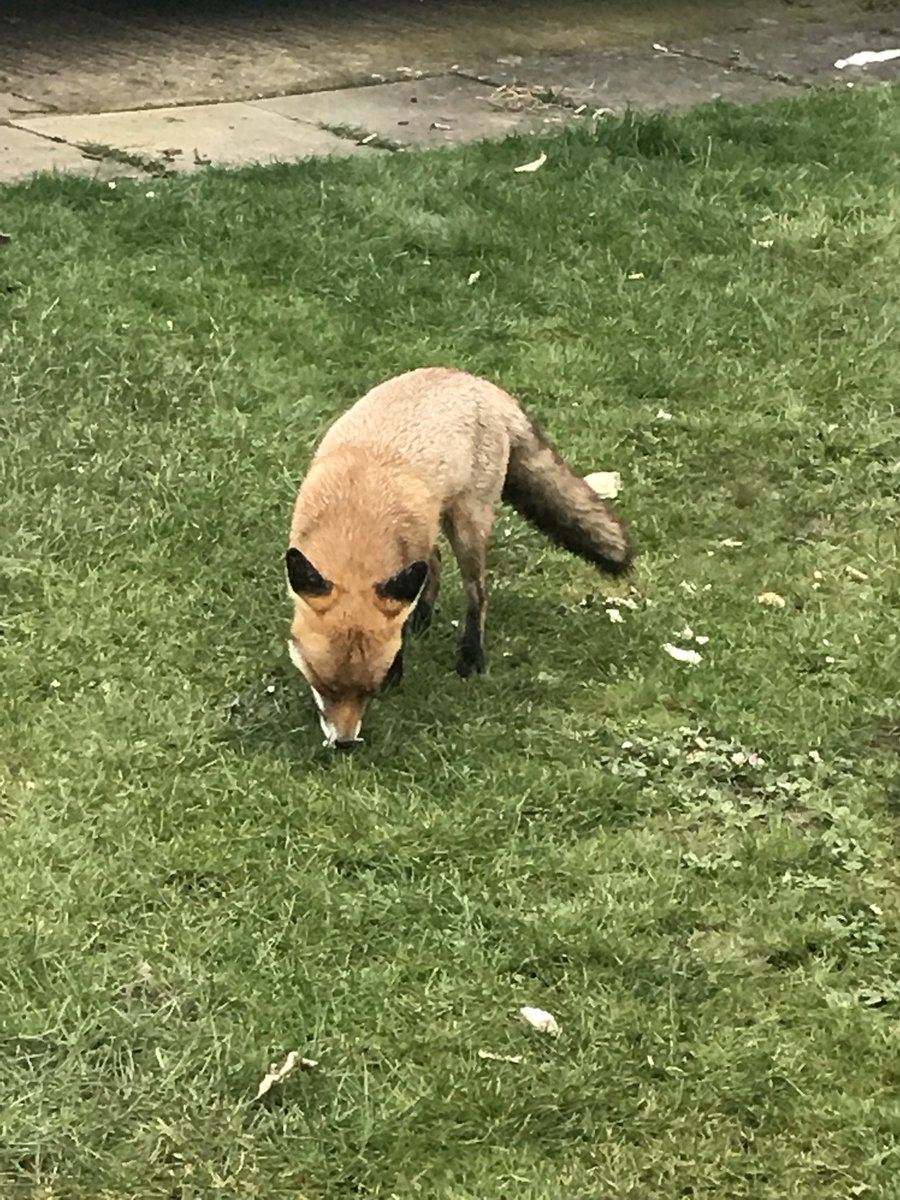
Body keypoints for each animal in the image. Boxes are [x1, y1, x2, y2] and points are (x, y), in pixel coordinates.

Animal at [286, 367, 633, 748]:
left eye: (370, 692)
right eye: (323, 685)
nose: (346, 745)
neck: (357, 515)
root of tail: (477, 381)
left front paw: (399, 670)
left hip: (468, 526)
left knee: (477, 593)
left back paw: (471, 654)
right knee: (435, 562)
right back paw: (423, 618)